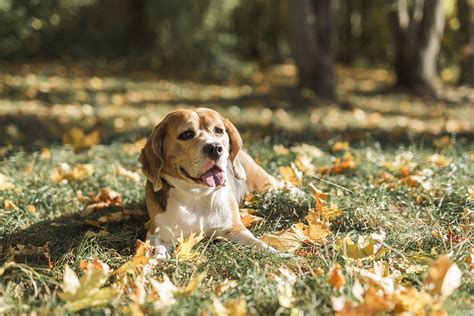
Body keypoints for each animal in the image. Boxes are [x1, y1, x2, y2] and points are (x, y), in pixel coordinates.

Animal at [137, 107, 278, 258]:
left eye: (218, 130)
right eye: (186, 134)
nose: (215, 148)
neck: (197, 194)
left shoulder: (235, 229)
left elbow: (258, 243)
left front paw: (278, 254)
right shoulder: (158, 234)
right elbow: (156, 250)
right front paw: (154, 259)